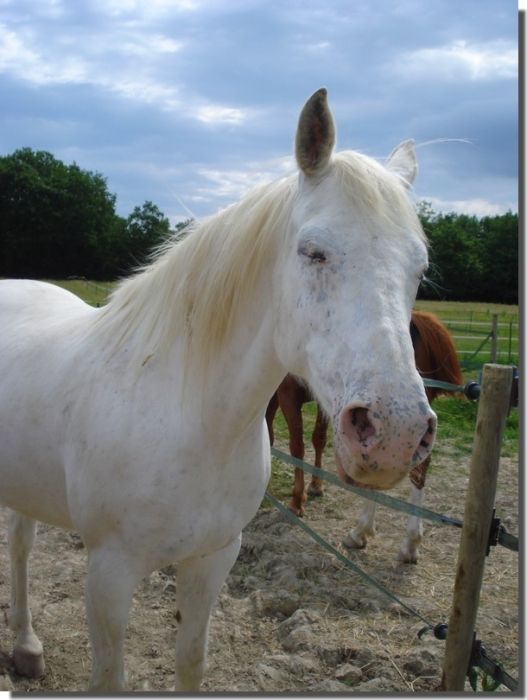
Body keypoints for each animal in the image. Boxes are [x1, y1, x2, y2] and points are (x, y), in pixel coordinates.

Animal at [0, 88, 436, 692]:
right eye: (313, 251)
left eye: (419, 268)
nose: (396, 432)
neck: (192, 420)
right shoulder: (109, 572)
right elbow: (110, 676)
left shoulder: (212, 560)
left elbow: (191, 660)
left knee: (21, 546)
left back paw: (26, 646)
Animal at [266, 310, 462, 563]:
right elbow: (317, 439)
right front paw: (315, 485)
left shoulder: (288, 395)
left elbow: (296, 446)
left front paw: (297, 500)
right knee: (417, 468)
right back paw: (405, 543)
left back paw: (363, 531)